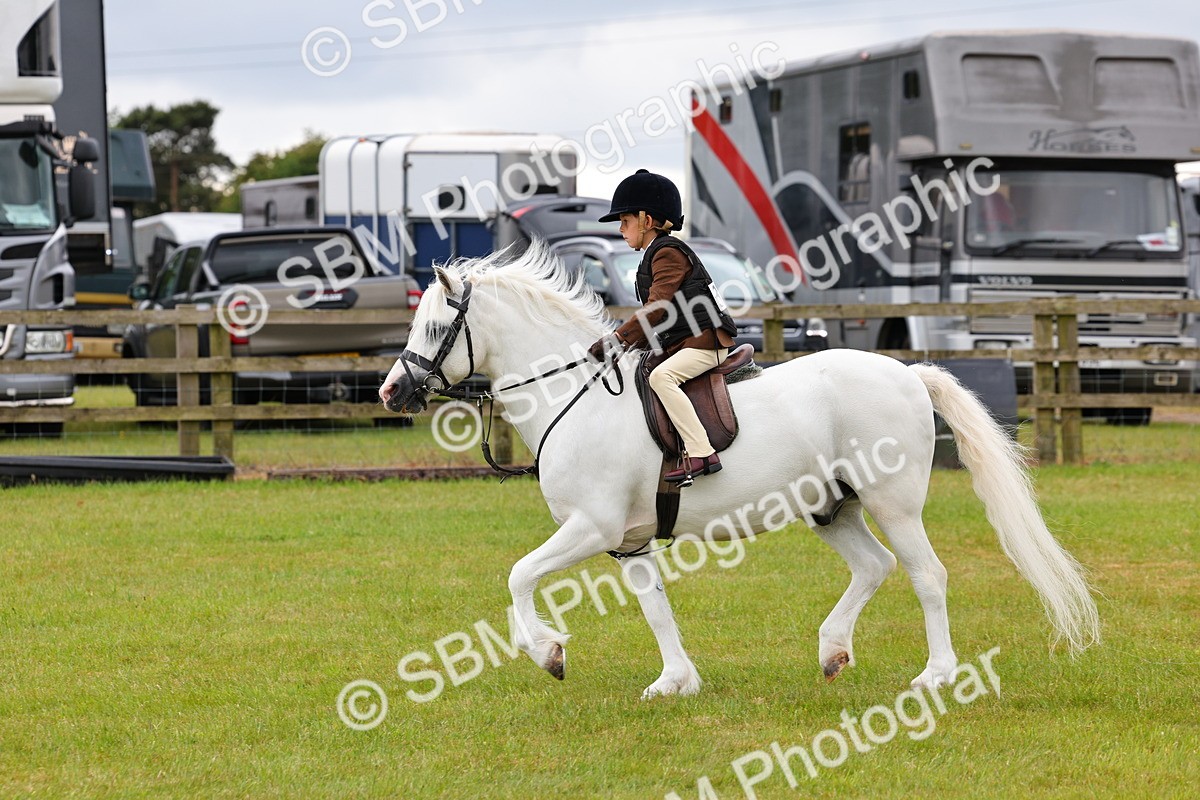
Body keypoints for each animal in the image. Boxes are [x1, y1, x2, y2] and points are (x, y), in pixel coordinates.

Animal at [379, 243, 1099, 699]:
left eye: (437, 327)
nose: (392, 392)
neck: (573, 396)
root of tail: (906, 373)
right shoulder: (628, 541)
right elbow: (655, 606)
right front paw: (675, 681)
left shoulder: (592, 526)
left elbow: (519, 575)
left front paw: (548, 652)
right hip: (831, 507)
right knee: (874, 567)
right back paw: (832, 651)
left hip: (892, 504)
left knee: (927, 576)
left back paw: (936, 675)